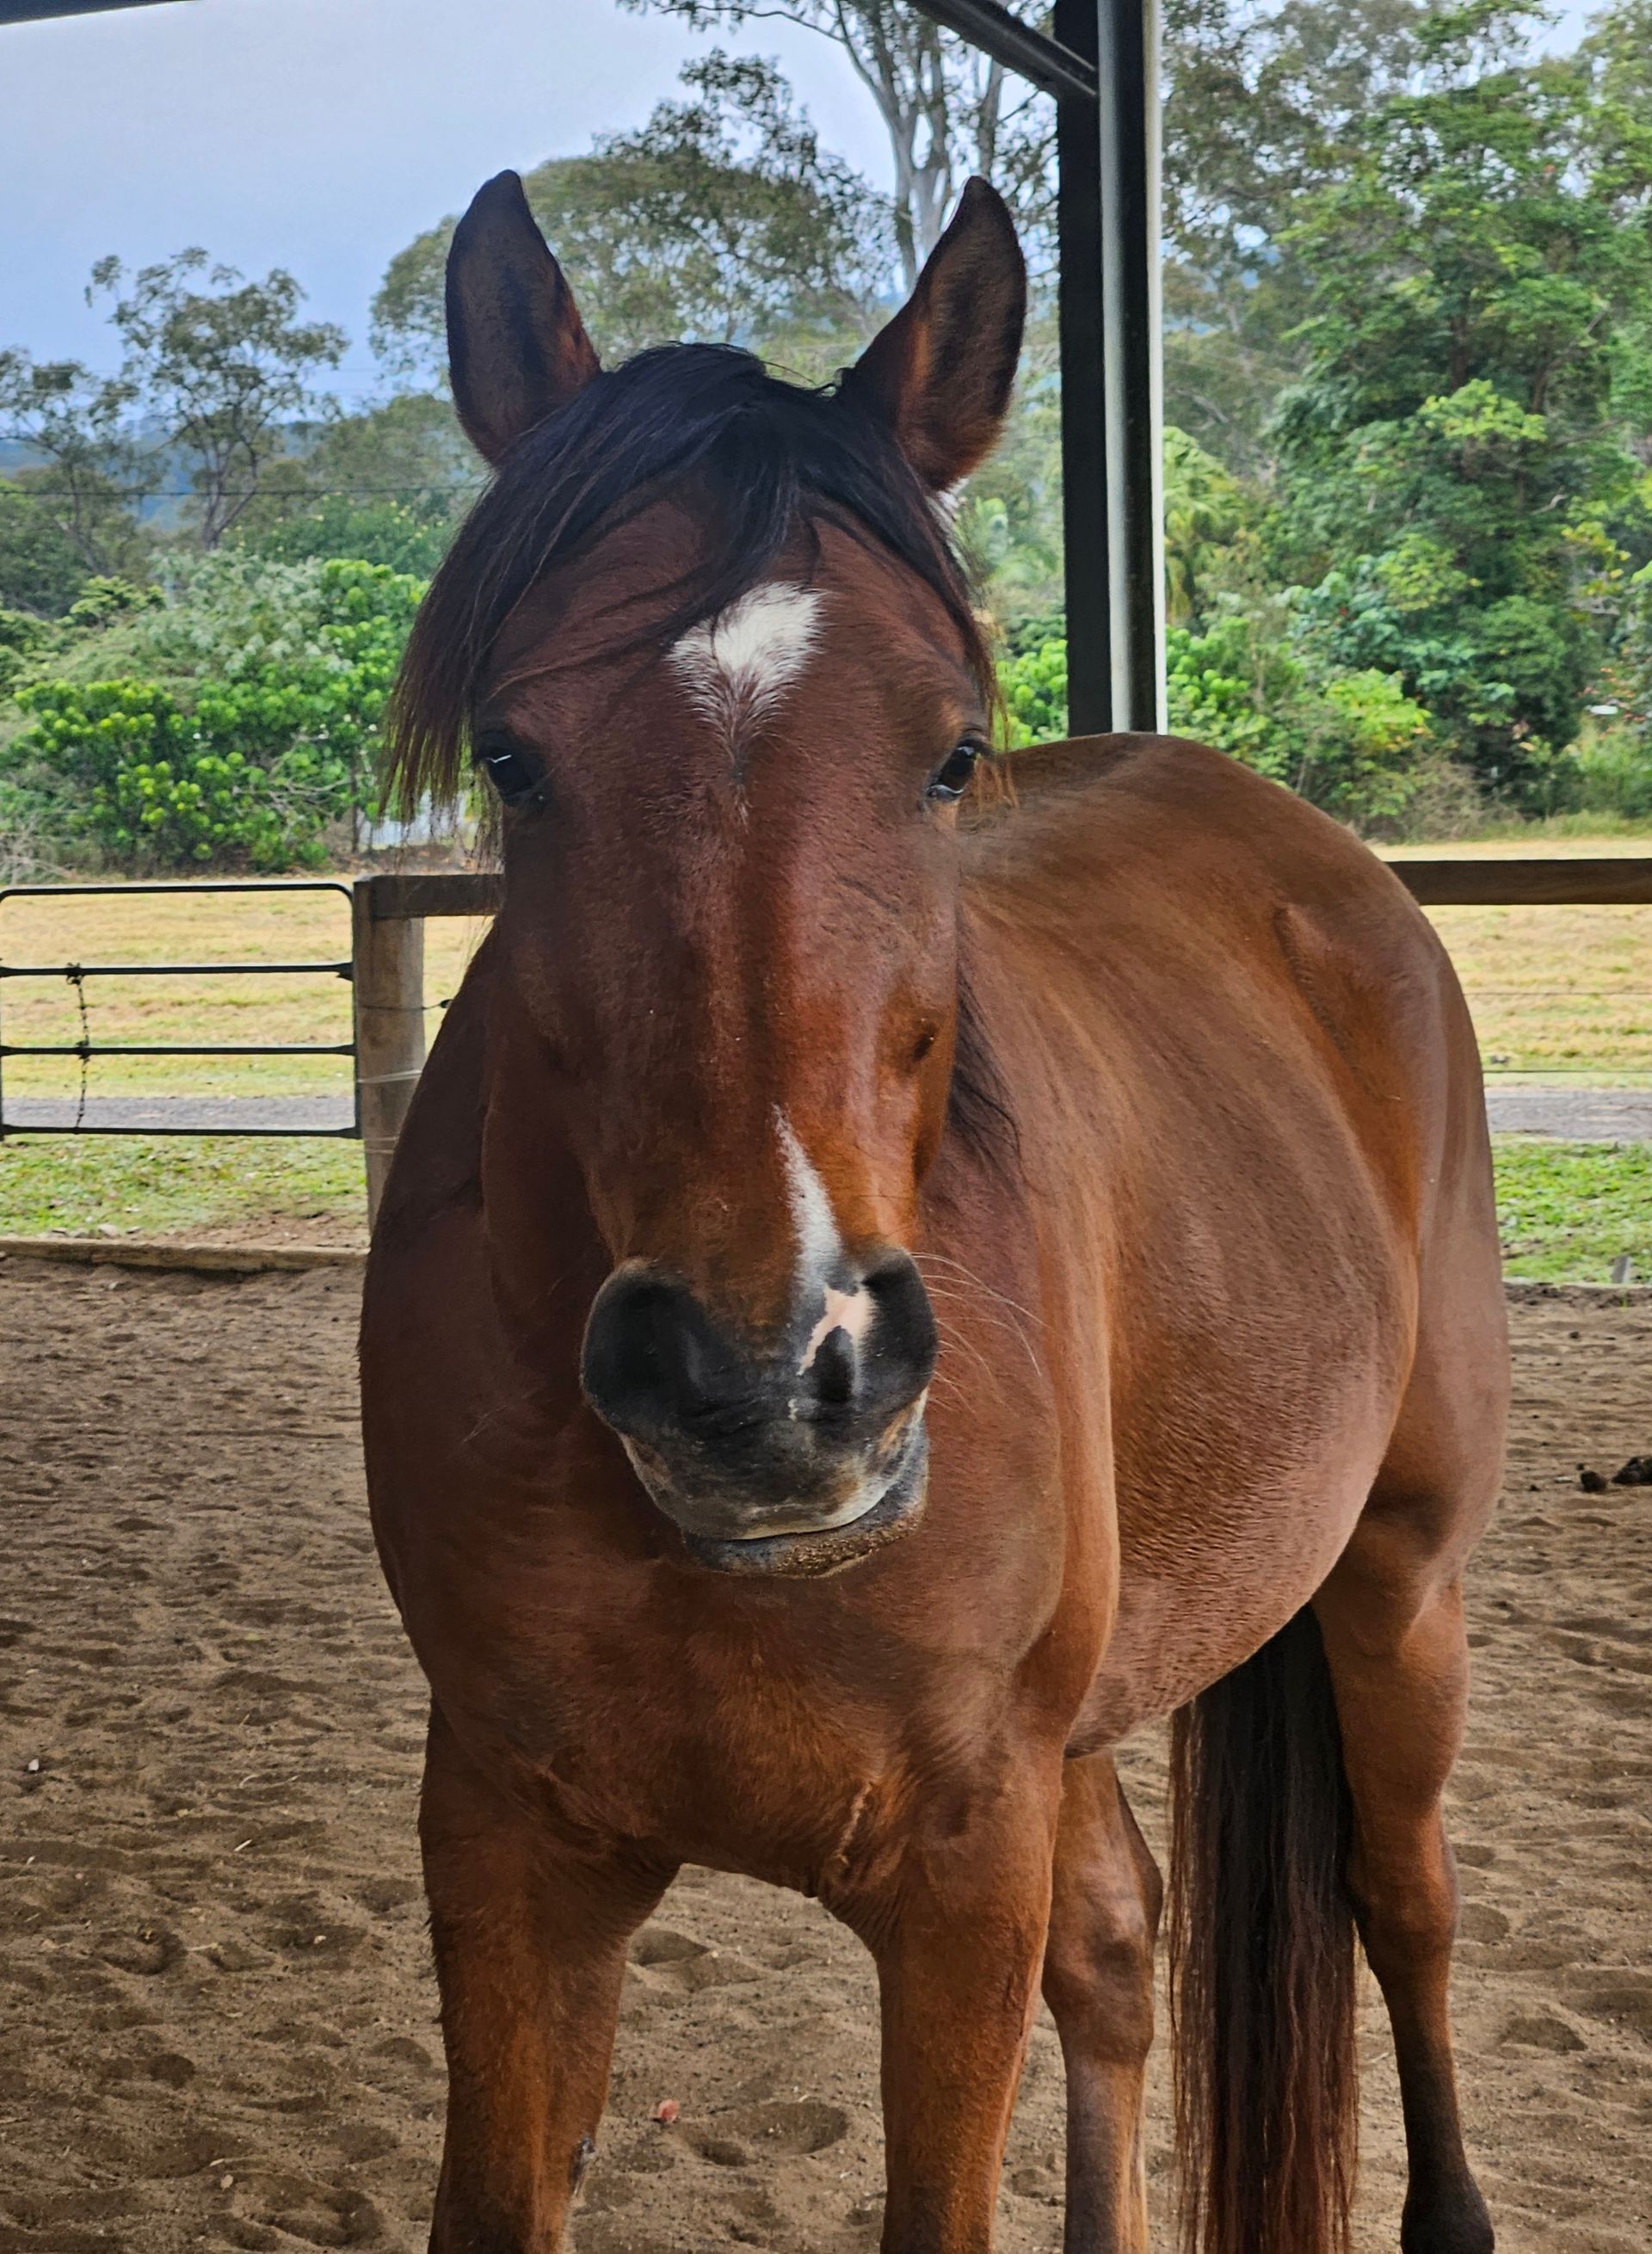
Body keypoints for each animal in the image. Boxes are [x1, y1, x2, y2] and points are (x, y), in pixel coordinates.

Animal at [360, 169, 1507, 2254]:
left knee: (1406, 1900)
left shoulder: (963, 1865)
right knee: (1125, 1949)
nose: (765, 1381)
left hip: (1399, 1582)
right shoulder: (506, 1841)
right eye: (512, 753)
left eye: (952, 748)